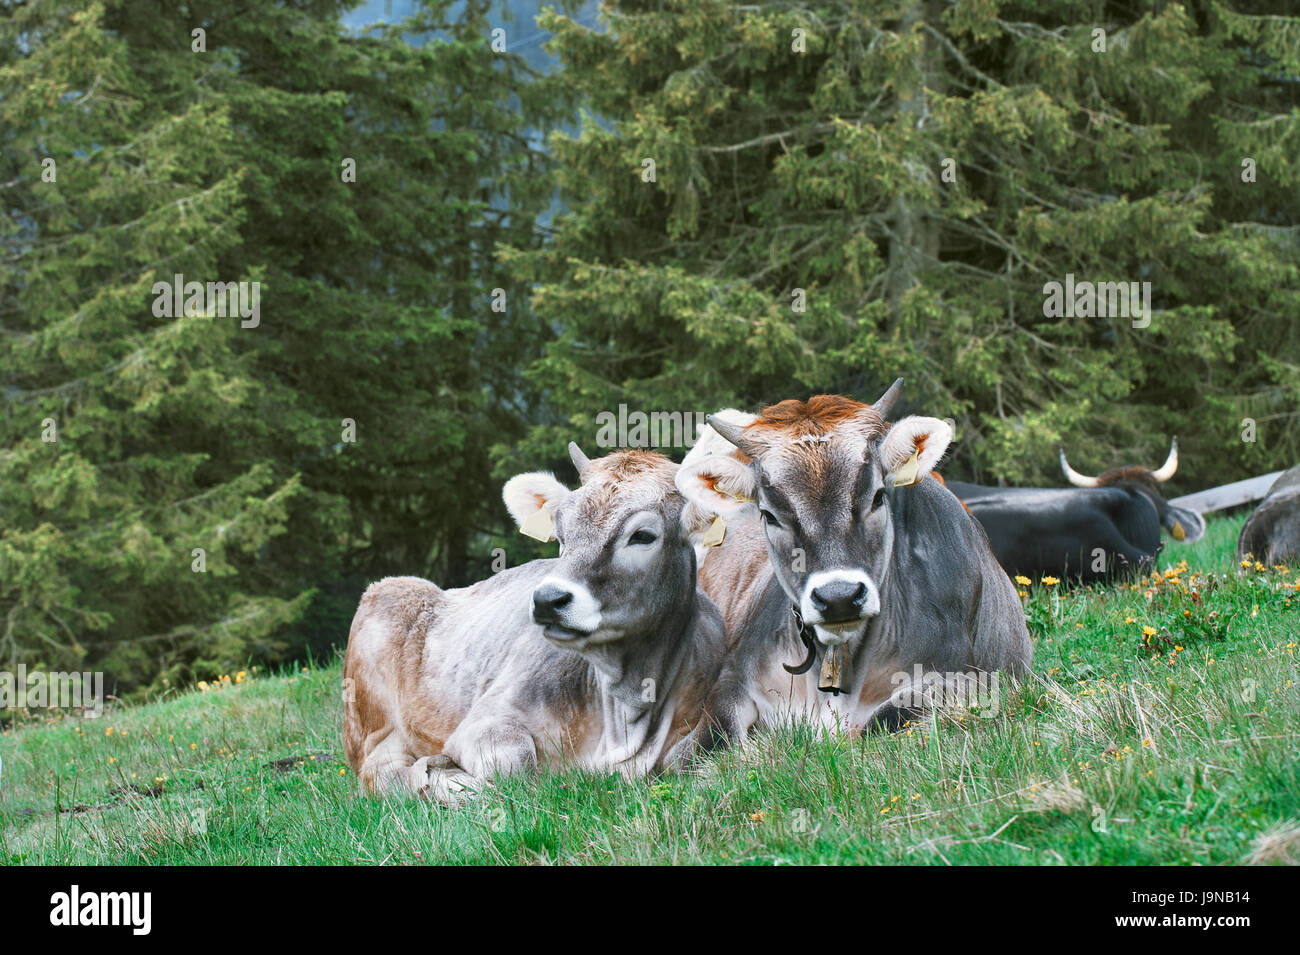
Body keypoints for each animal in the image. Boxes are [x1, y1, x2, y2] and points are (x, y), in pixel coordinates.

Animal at [343, 446, 733, 800]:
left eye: (642, 535)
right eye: (560, 535)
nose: (547, 600)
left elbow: (692, 758)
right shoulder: (485, 720)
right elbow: (511, 762)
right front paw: (450, 777)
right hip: (375, 714)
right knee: (379, 774)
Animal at [676, 382, 1029, 738]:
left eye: (878, 496)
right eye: (769, 515)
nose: (839, 598)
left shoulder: (967, 678)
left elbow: (888, 716)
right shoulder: (732, 677)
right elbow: (714, 733)